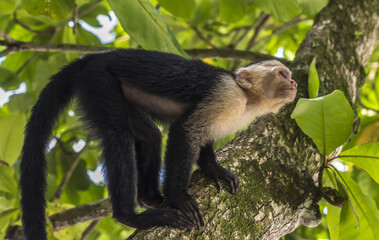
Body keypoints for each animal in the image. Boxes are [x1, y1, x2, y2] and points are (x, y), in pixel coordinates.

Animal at [19, 48, 298, 238]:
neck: (247, 98)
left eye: (289, 76)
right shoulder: (225, 94)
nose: (294, 83)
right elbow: (186, 131)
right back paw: (130, 216)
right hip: (98, 81)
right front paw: (179, 197)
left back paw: (150, 197)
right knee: (118, 135)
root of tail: (90, 59)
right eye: (282, 74)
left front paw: (213, 168)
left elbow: (201, 136)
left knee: (150, 135)